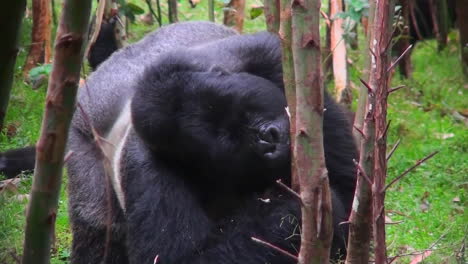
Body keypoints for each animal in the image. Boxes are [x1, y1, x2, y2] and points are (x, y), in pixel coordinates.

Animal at [0, 21, 358, 262]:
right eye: (227, 138)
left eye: (243, 109)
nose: (269, 138)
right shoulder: (149, 169)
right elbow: (180, 259)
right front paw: (292, 211)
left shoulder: (266, 59)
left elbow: (346, 185)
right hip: (80, 141)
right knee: (98, 230)